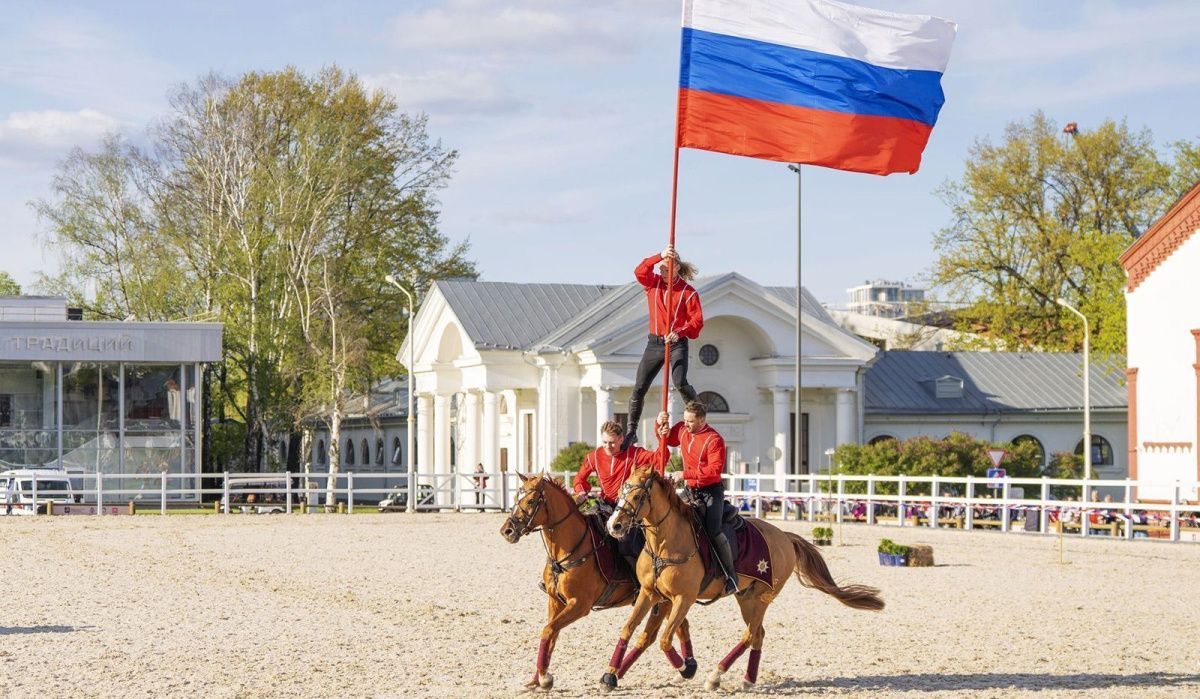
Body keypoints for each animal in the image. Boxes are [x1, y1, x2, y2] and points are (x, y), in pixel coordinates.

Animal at [501, 473, 700, 691]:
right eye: (515, 499)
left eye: (530, 501)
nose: (507, 530)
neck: (569, 550)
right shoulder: (555, 601)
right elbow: (551, 636)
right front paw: (537, 678)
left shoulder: (579, 605)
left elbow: (548, 630)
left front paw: (544, 677)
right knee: (679, 627)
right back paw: (686, 666)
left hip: (664, 600)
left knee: (657, 634)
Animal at [604, 468, 888, 691]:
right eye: (620, 492)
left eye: (637, 496)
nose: (614, 526)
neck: (666, 542)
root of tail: (785, 537)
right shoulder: (650, 593)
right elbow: (628, 629)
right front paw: (610, 674)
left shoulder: (683, 599)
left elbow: (664, 639)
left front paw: (685, 668)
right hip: (746, 597)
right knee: (758, 634)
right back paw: (748, 679)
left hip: (762, 597)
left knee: (750, 634)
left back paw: (715, 675)